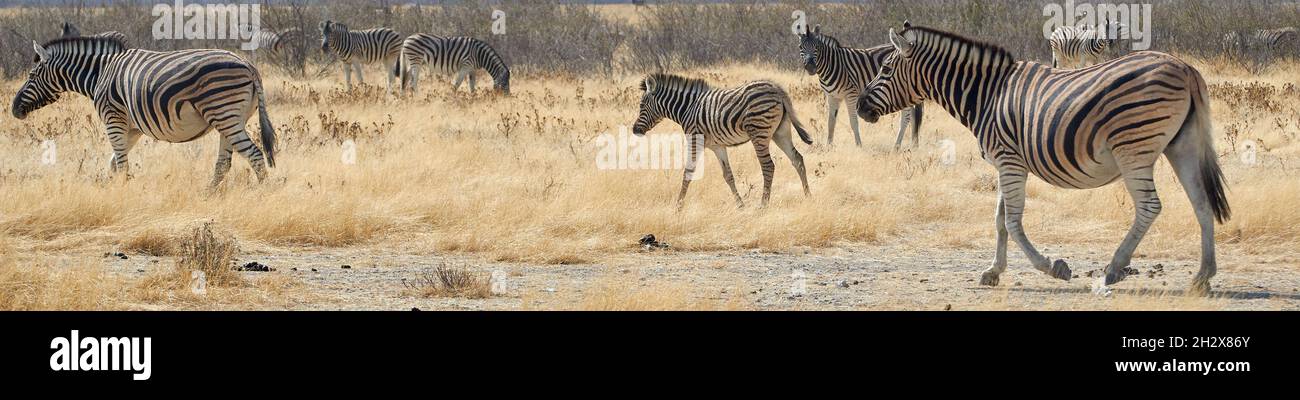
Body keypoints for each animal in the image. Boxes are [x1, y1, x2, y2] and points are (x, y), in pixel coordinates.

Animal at [10, 37, 275, 187]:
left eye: (31, 76)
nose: (14, 109)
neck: (99, 74)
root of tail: (249, 65)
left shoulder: (113, 119)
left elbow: (121, 163)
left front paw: (122, 193)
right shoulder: (132, 128)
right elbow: (114, 164)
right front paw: (118, 190)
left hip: (224, 112)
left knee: (254, 155)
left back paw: (262, 195)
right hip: (231, 119)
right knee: (223, 164)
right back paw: (207, 196)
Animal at [631, 73, 811, 207]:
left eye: (641, 106)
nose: (634, 130)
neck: (688, 108)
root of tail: (776, 88)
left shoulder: (695, 140)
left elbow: (688, 172)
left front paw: (678, 207)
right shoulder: (718, 146)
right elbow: (728, 175)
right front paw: (740, 205)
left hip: (759, 132)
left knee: (768, 166)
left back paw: (763, 204)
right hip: (780, 132)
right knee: (798, 159)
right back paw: (807, 196)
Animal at [790, 25, 925, 150]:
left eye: (816, 47)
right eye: (800, 47)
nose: (810, 67)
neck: (831, 65)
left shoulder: (851, 95)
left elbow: (853, 121)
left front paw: (858, 145)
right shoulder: (832, 96)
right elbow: (831, 122)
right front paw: (828, 146)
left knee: (906, 118)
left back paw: (896, 146)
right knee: (913, 116)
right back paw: (914, 144)